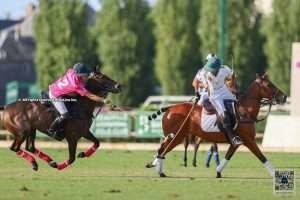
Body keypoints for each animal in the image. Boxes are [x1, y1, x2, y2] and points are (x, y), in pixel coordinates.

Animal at [146, 73, 288, 178]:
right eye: (269, 85)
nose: (284, 96)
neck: (244, 111)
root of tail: (169, 108)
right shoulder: (249, 140)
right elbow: (262, 157)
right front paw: (276, 175)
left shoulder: (237, 142)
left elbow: (228, 155)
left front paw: (218, 171)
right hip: (176, 136)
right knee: (162, 149)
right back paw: (159, 170)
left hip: (176, 136)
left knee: (162, 149)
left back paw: (159, 170)